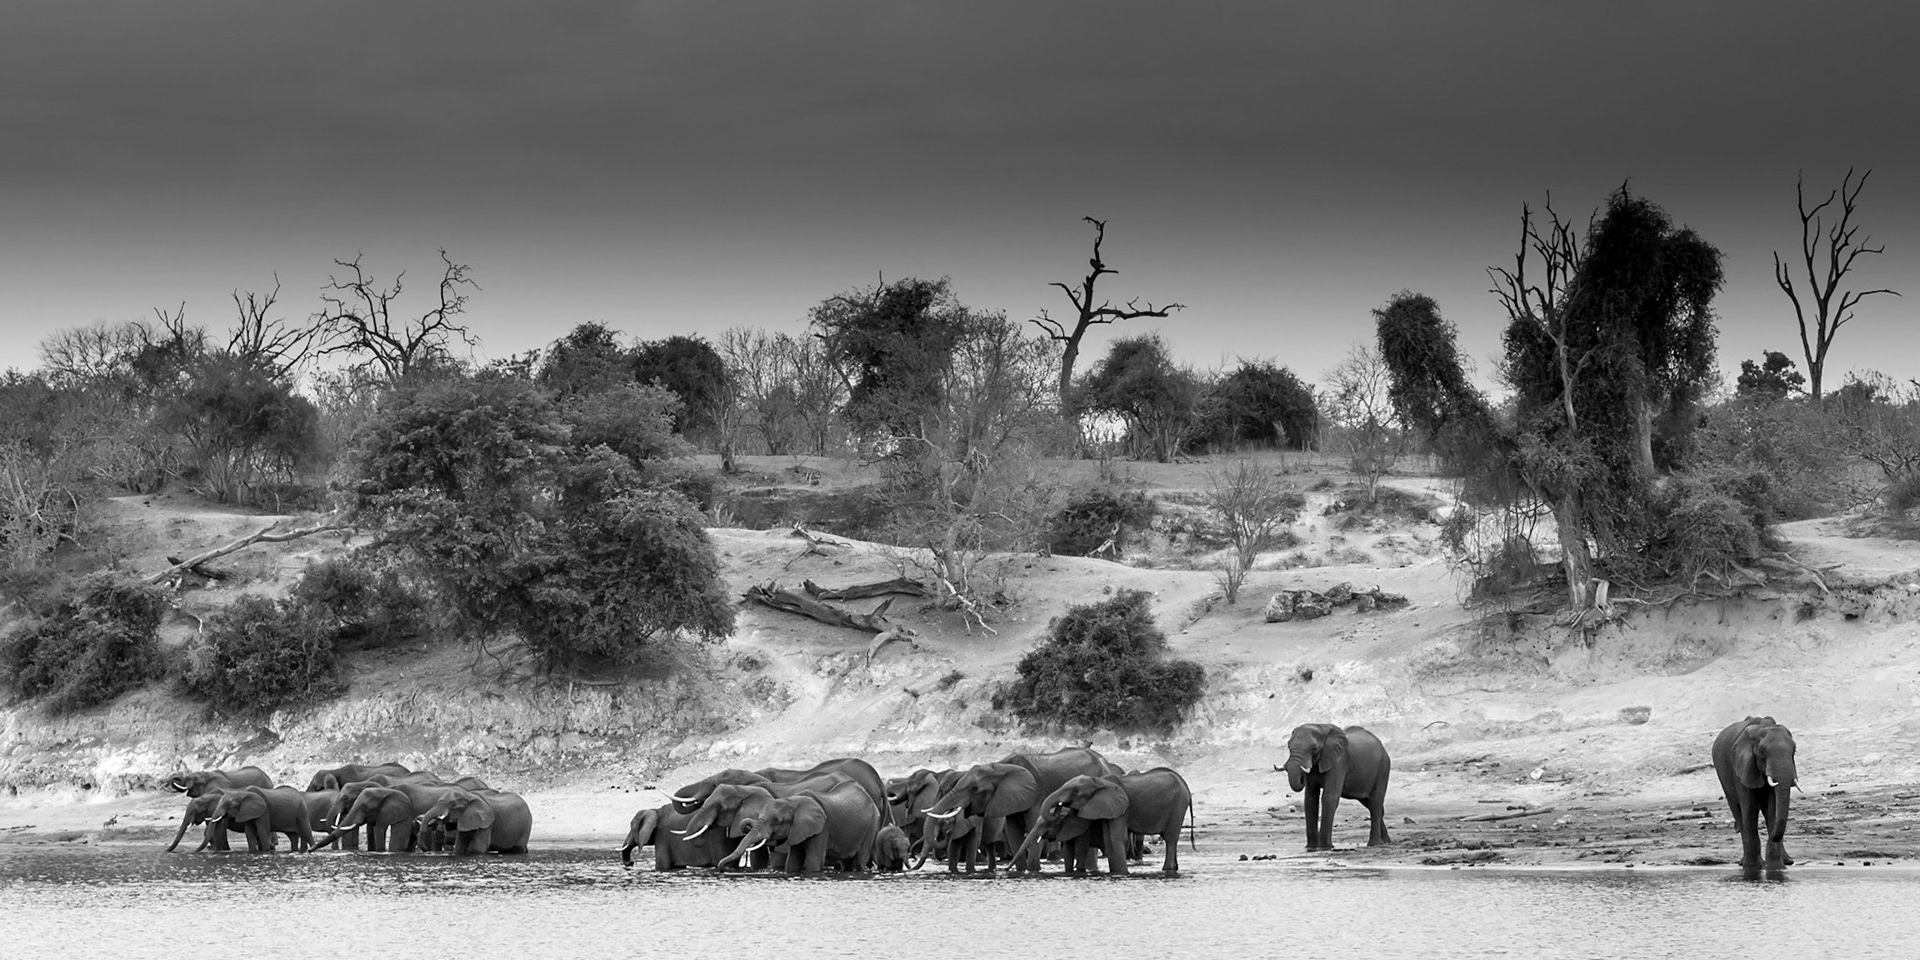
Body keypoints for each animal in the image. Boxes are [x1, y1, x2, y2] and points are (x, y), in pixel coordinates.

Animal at [716, 780, 880, 874]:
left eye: (777, 820)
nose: (726, 869)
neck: (792, 801)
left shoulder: (822, 828)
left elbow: (813, 860)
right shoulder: (798, 829)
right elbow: (793, 861)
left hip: (871, 826)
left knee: (860, 859)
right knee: (846, 862)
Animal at [1013, 768, 1195, 875]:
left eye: (1075, 791)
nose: (1059, 806)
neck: (1099, 781)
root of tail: (1186, 786)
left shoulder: (1120, 807)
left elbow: (1114, 838)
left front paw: (1120, 874)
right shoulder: (1106, 808)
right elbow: (1107, 838)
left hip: (1178, 806)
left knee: (1170, 839)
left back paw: (1168, 870)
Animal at [1711, 716, 1797, 869]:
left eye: (1794, 751)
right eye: (1762, 752)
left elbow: (1773, 809)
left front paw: (1775, 868)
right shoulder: (1742, 768)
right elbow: (1750, 809)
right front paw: (1753, 867)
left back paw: (1787, 861)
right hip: (1723, 778)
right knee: (1738, 813)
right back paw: (1743, 862)